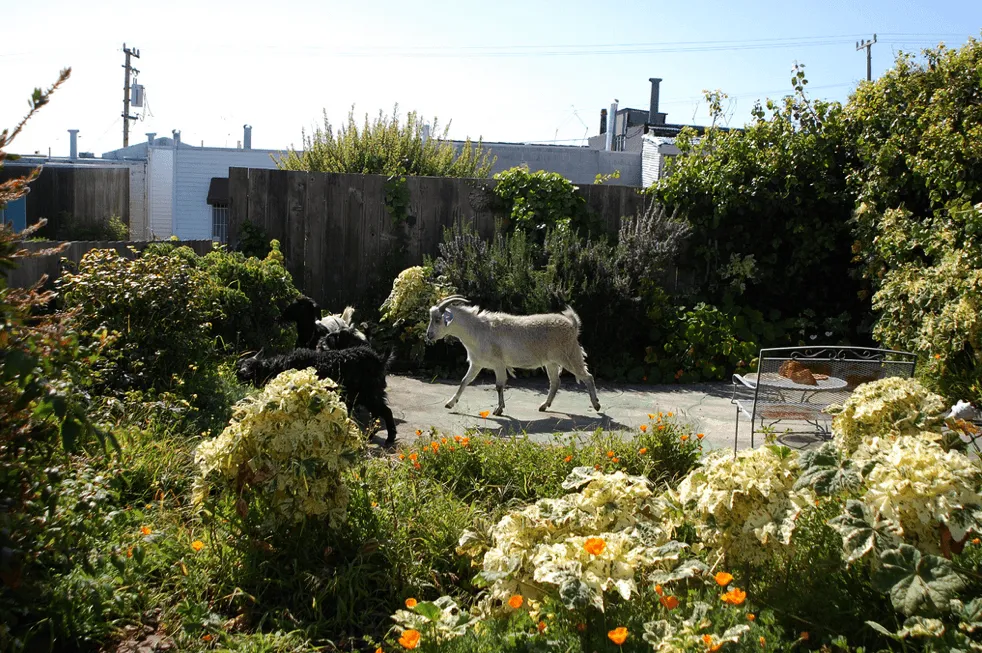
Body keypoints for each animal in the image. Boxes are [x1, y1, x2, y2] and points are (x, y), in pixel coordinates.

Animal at [236, 345, 397, 445]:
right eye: (242, 365)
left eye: (250, 369)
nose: (241, 374)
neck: (278, 367)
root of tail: (380, 360)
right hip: (370, 395)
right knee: (378, 414)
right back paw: (371, 436)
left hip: (368, 394)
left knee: (384, 411)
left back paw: (388, 438)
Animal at [425, 295, 601, 416]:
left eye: (438, 319)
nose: (429, 336)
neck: (478, 330)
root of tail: (573, 325)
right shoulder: (477, 363)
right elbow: (464, 381)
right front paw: (450, 403)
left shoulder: (498, 364)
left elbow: (499, 386)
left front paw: (498, 410)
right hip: (551, 361)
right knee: (555, 382)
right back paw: (544, 406)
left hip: (569, 356)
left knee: (587, 377)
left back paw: (596, 405)